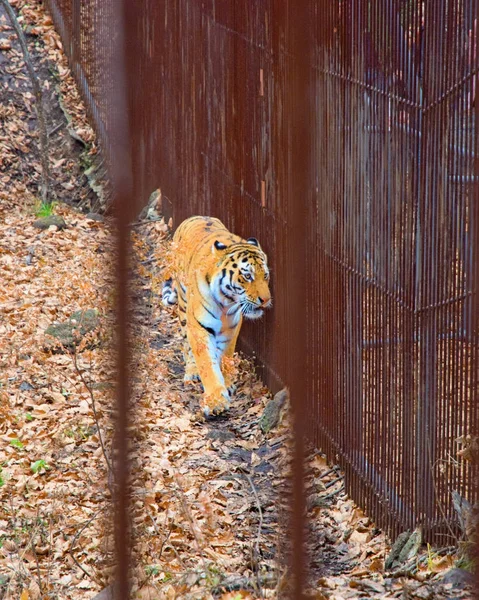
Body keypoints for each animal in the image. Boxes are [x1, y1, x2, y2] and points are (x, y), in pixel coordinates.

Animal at [163, 217, 272, 418]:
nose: (266, 300)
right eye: (248, 276)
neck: (226, 302)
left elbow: (224, 355)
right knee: (186, 345)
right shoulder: (199, 326)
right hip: (183, 306)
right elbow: (207, 363)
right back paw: (191, 371)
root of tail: (194, 217)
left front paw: (226, 384)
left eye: (266, 275)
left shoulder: (231, 329)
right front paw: (215, 401)